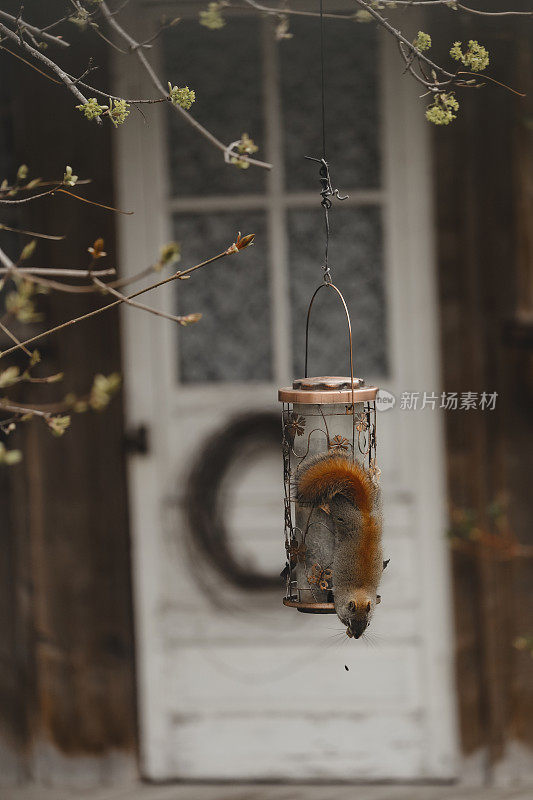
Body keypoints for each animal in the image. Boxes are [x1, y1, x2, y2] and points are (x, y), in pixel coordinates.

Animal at [296, 456, 382, 636]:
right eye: (347, 620)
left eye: (368, 623)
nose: (355, 636)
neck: (360, 590)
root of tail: (365, 514)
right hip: (344, 513)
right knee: (337, 501)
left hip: (376, 506)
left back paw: (374, 480)